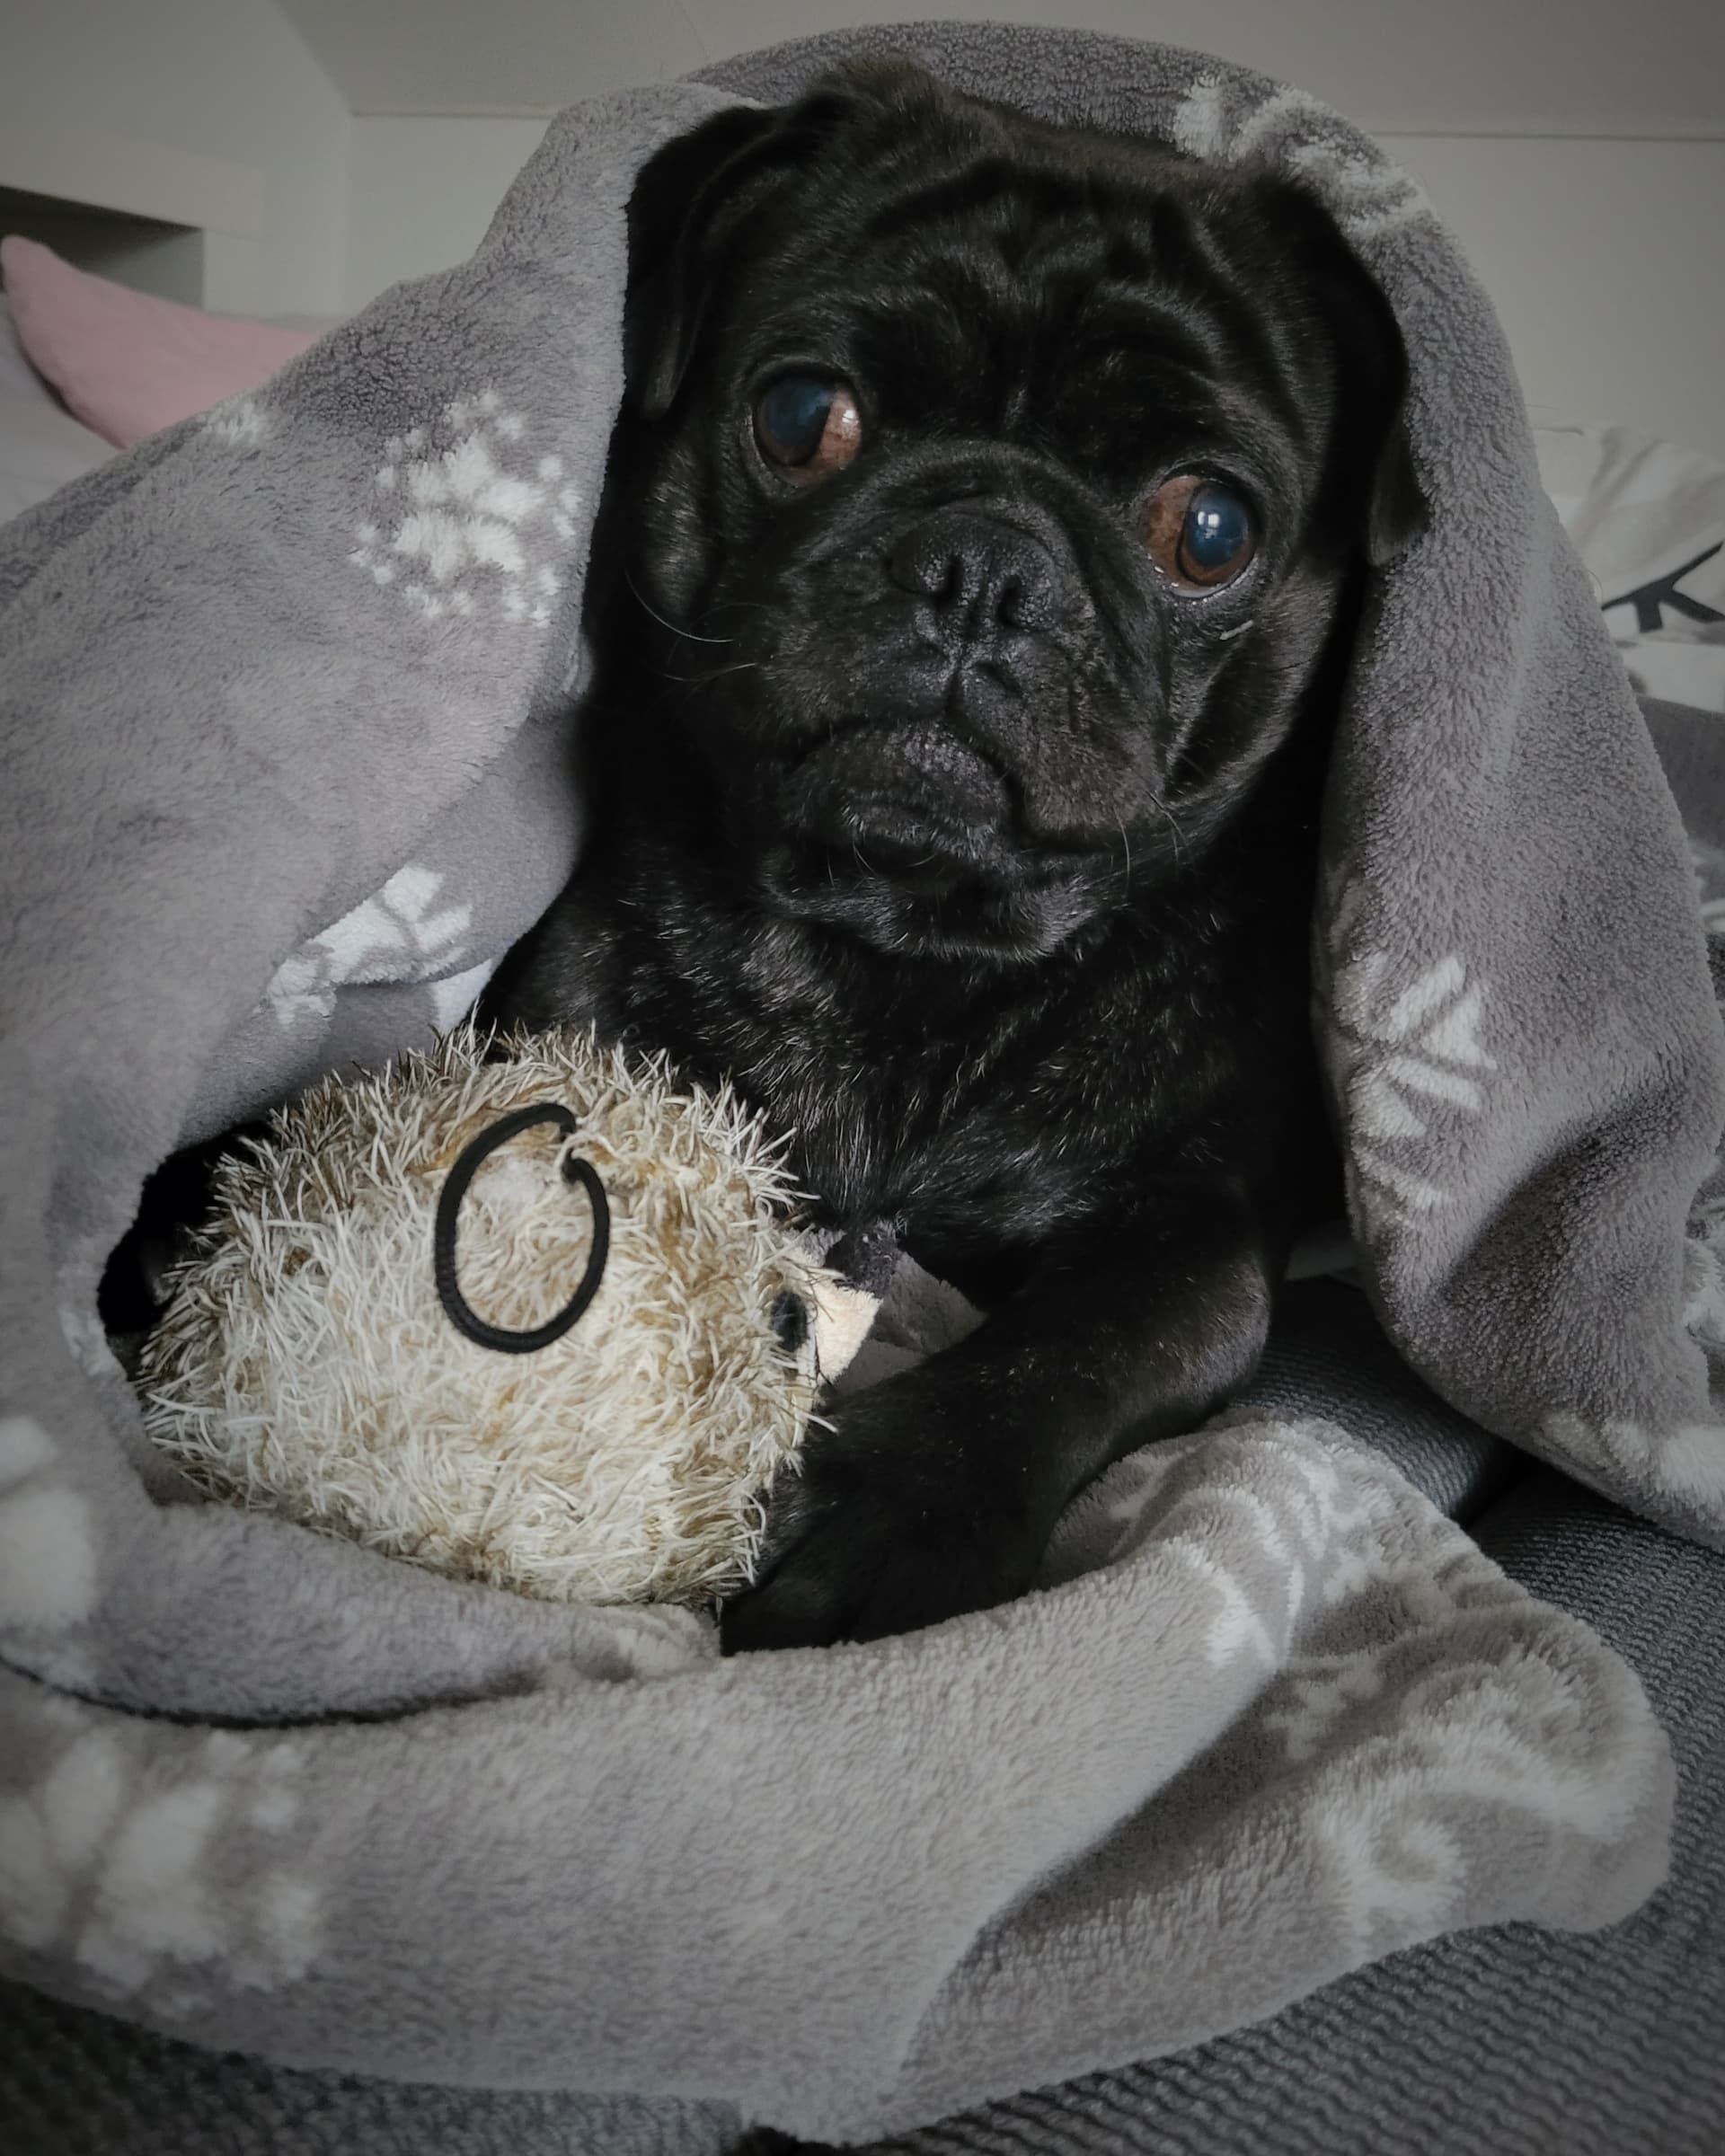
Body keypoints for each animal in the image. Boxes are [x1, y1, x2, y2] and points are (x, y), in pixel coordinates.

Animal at [480, 58, 1422, 1650]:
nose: (988, 566)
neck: (910, 941)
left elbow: (1067, 1347)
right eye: (805, 414)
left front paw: (892, 1509)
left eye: (1211, 527)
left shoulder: (1188, 1235)